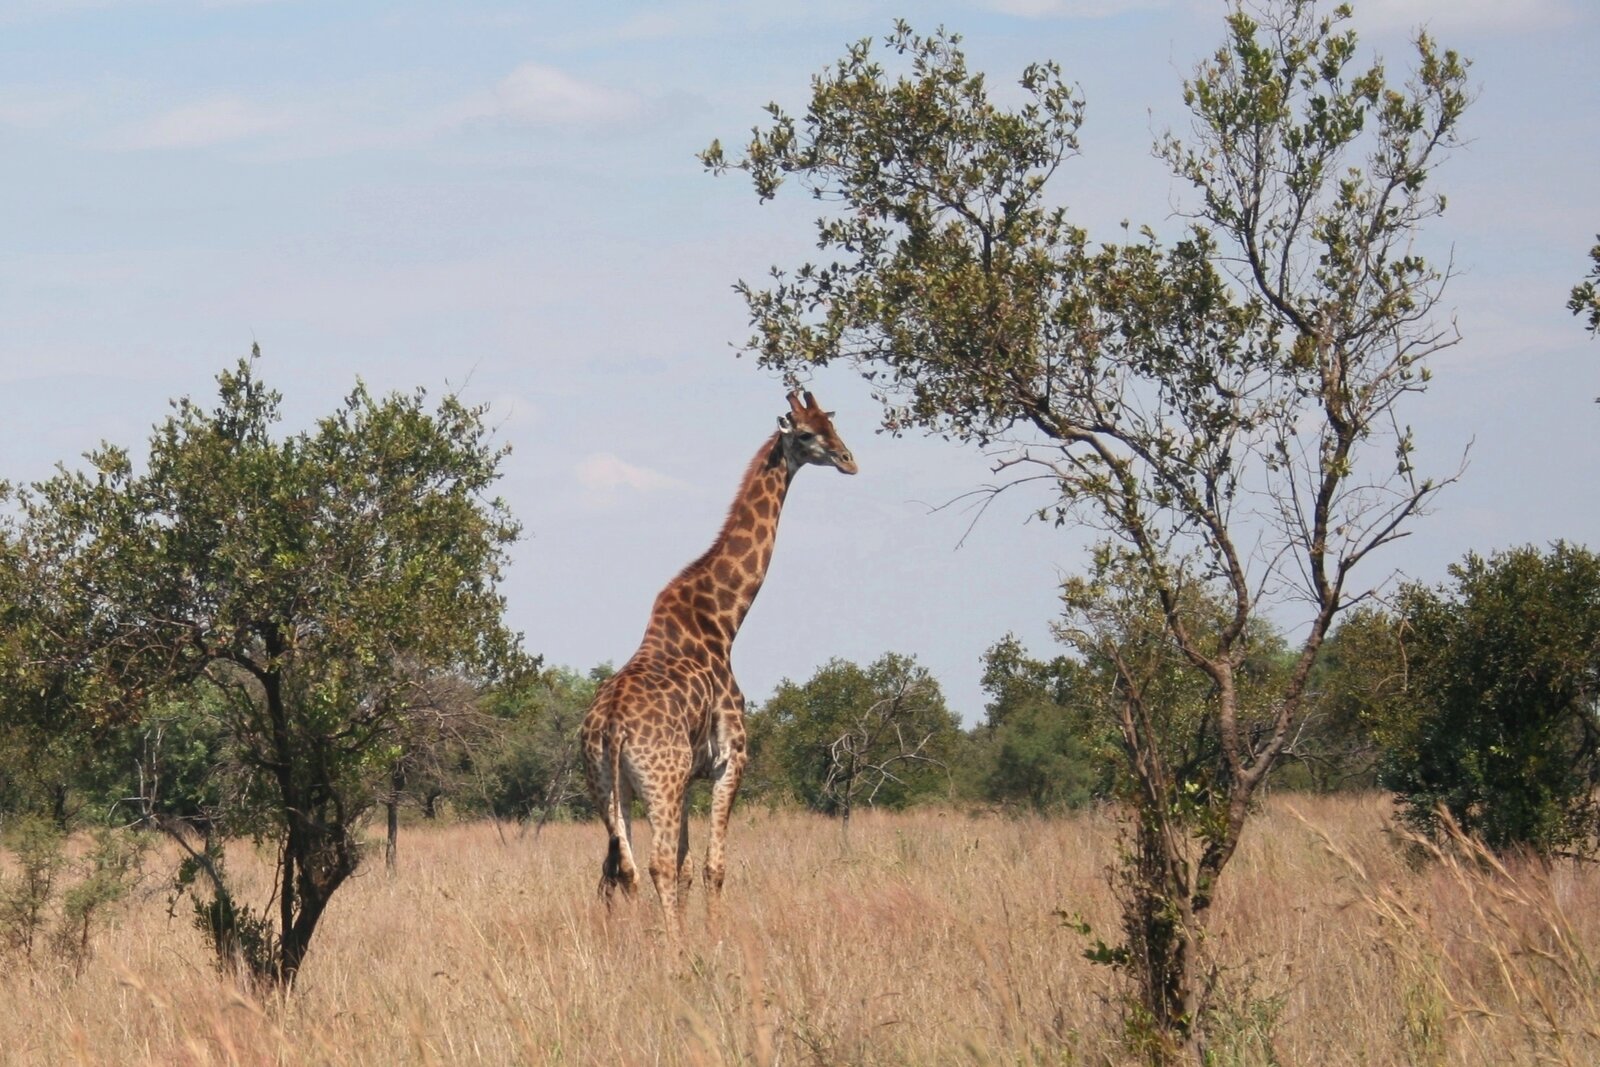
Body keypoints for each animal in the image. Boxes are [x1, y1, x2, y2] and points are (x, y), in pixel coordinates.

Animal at [580, 389, 856, 946]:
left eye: (832, 425)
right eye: (807, 434)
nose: (848, 460)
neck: (723, 620)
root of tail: (611, 727)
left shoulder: (690, 777)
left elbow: (687, 865)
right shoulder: (731, 759)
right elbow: (712, 866)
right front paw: (714, 936)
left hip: (607, 788)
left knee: (621, 869)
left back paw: (630, 942)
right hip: (657, 783)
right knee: (655, 863)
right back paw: (672, 950)